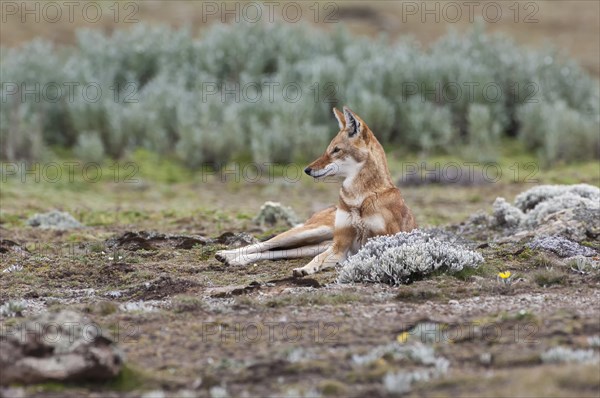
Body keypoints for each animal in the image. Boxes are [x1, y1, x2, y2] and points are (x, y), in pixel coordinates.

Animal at [216, 105, 418, 276]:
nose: (307, 170)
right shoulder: (339, 247)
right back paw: (227, 255)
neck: (358, 199)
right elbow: (317, 259)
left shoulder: (376, 243)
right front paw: (305, 269)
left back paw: (237, 260)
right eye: (327, 150)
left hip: (313, 243)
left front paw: (306, 270)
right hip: (308, 233)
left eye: (336, 150)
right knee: (266, 244)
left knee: (277, 251)